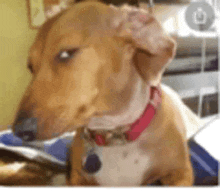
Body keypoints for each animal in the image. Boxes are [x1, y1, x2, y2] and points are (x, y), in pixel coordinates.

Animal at [11, 0, 201, 187]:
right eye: (31, 67)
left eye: (66, 53)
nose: (20, 131)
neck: (115, 136)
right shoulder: (78, 179)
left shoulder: (181, 172)